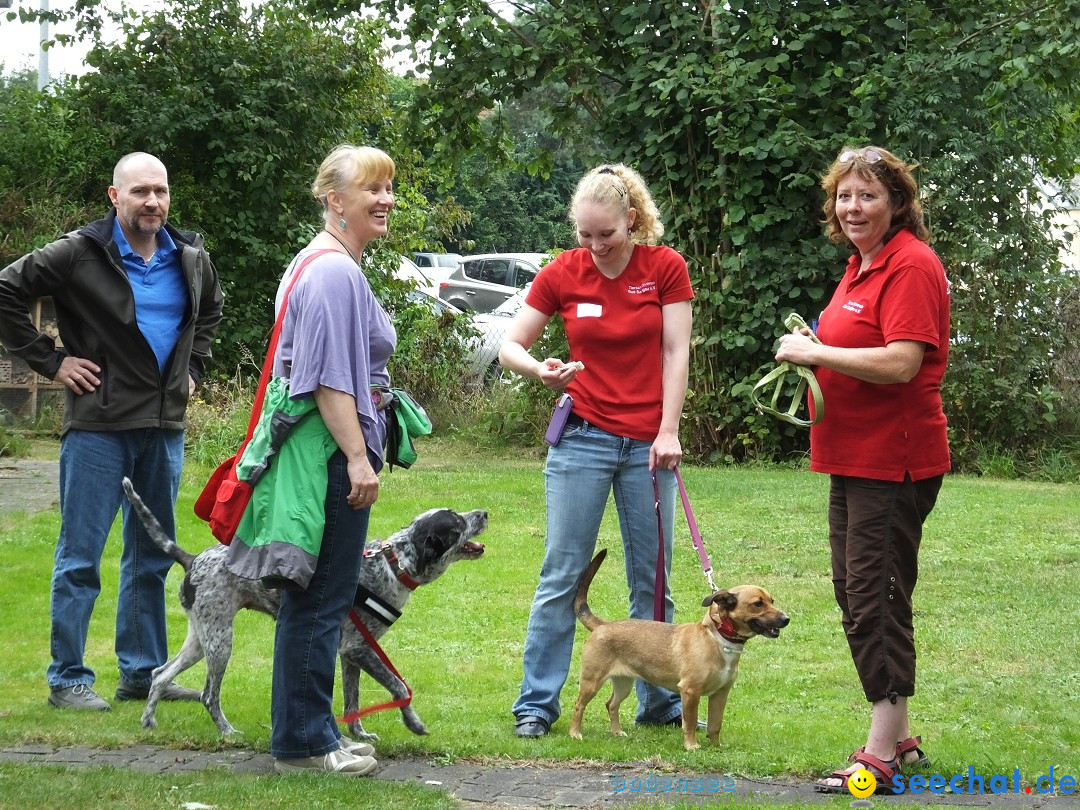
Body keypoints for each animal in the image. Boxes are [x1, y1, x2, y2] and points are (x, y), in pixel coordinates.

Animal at [121, 481, 486, 743]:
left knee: (160, 675)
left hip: (200, 640)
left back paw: (148, 721)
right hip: (221, 642)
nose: (484, 512)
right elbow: (398, 688)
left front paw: (359, 734)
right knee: (208, 696)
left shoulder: (351, 653)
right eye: (456, 522)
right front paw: (413, 723)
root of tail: (192, 558)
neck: (392, 564)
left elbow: (352, 702)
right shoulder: (359, 648)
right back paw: (226, 732)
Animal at [570, 548, 790, 751]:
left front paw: (716, 747)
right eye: (758, 604)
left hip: (623, 683)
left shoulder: (720, 694)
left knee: (611, 704)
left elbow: (715, 725)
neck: (717, 639)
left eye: (772, 601)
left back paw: (616, 732)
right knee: (579, 705)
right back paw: (575, 733)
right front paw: (691, 746)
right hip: (592, 681)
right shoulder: (690, 692)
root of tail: (602, 625)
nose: (786, 619)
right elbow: (690, 723)